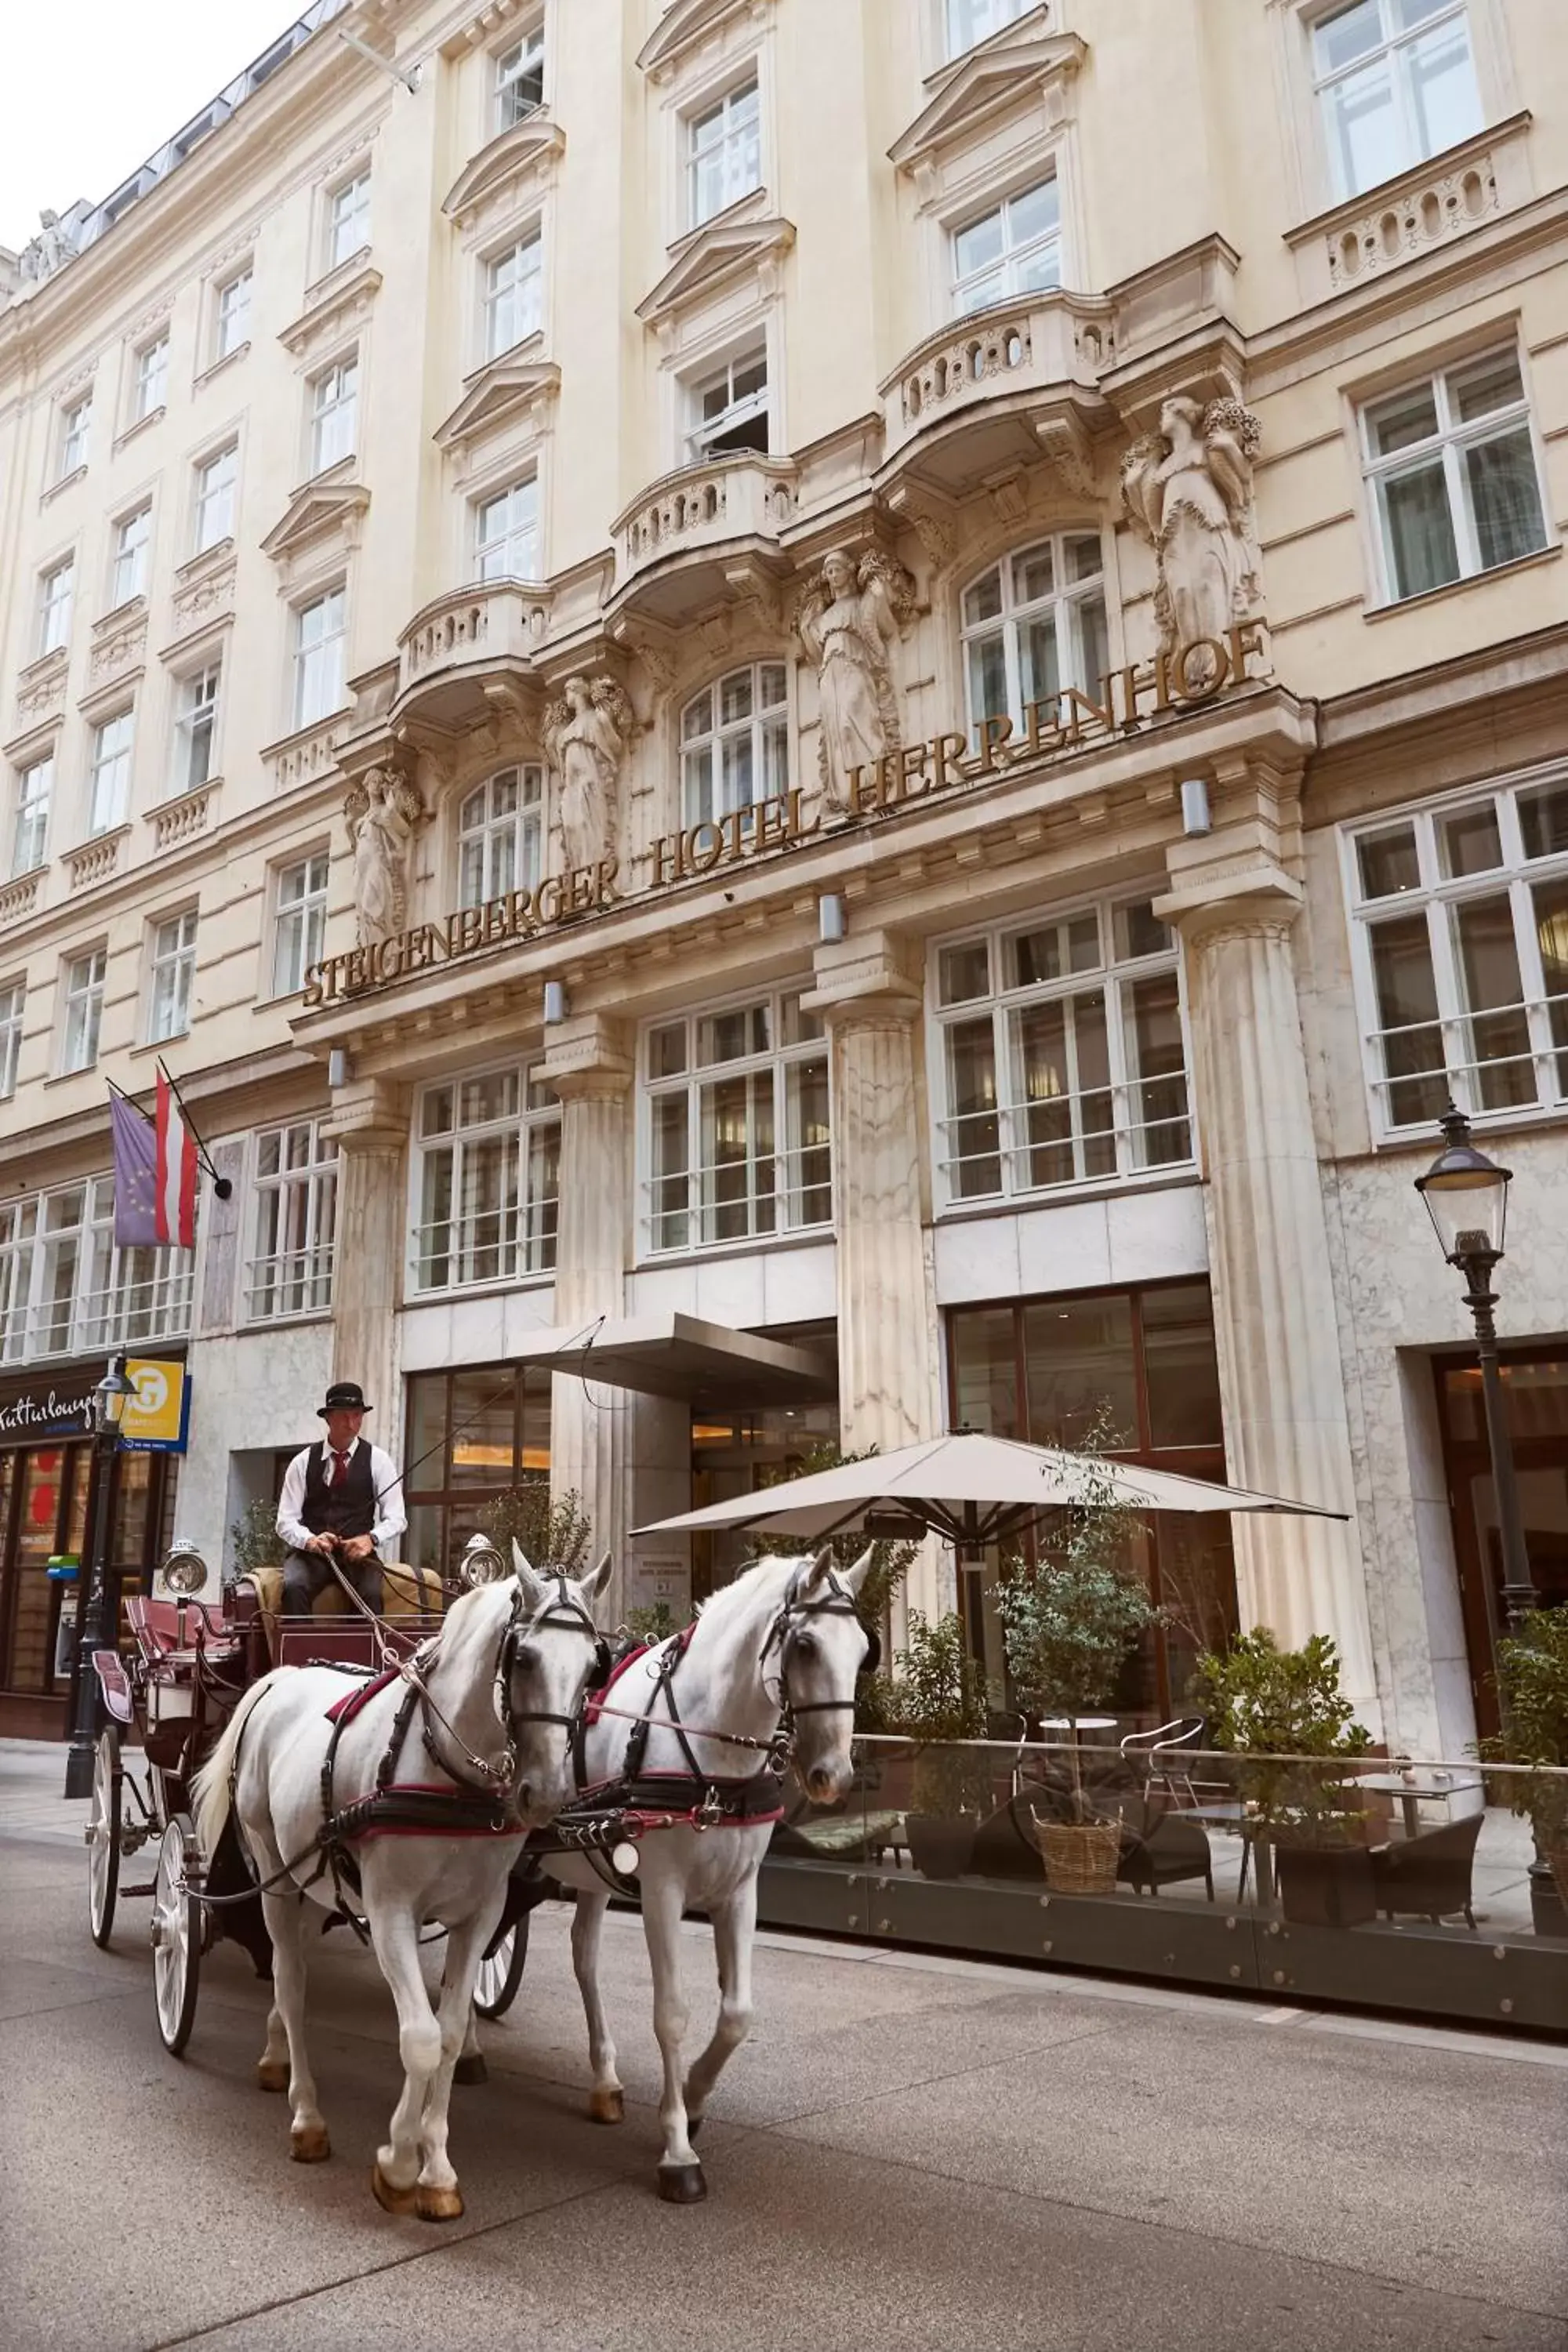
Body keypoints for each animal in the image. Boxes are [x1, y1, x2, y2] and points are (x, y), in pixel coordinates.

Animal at [192, 1552, 611, 2211]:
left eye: (595, 1667)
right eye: (522, 1658)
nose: (545, 1794)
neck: (452, 1773)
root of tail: (279, 1678)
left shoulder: (479, 1914)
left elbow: (451, 2032)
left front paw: (435, 2169)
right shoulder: (391, 1911)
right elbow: (419, 2038)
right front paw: (397, 2163)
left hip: (316, 1883)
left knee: (294, 1970)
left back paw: (276, 2051)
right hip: (275, 1876)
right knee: (290, 1980)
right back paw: (306, 2116)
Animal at [550, 1543, 869, 2201]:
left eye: (864, 1650)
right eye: (805, 1645)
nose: (834, 1776)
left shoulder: (740, 1892)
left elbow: (737, 2014)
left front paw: (695, 2099)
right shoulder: (662, 1892)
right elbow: (671, 2014)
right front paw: (677, 2148)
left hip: (592, 1873)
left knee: (583, 1956)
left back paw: (604, 2080)